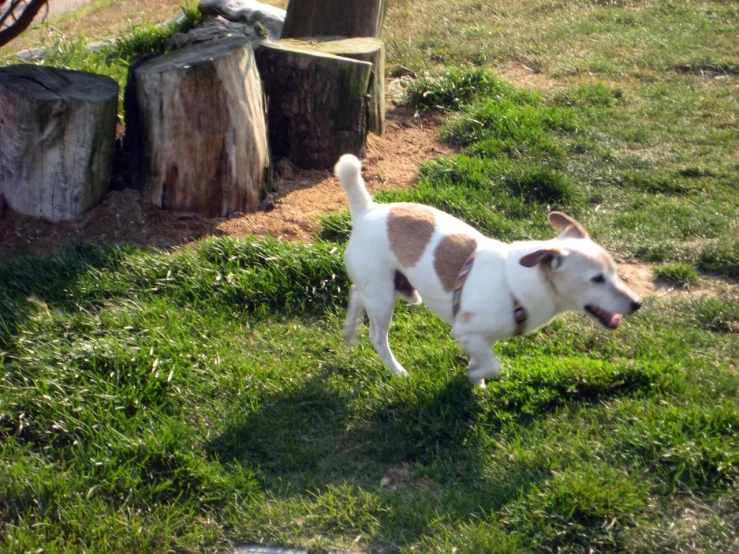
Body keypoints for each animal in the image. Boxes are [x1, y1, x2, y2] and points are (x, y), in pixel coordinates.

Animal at [336, 152, 640, 384]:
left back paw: (349, 331)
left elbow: (484, 360)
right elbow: (493, 365)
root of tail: (367, 210)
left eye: (615, 272)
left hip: (399, 289)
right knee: (377, 335)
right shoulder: (466, 331)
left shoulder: (485, 338)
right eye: (597, 279)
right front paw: (473, 377)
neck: (515, 288)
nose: (637, 303)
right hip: (384, 296)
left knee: (355, 291)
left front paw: (476, 379)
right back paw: (396, 370)